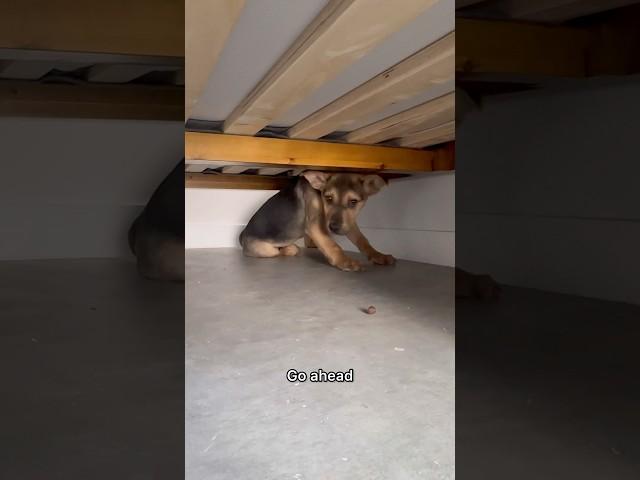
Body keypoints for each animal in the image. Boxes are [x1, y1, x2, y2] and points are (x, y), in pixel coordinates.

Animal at [238, 171, 392, 272]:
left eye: (353, 202)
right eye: (328, 198)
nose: (333, 227)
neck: (319, 194)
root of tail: (243, 235)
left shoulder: (348, 223)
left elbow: (363, 240)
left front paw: (379, 256)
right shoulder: (315, 226)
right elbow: (332, 245)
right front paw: (345, 262)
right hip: (266, 250)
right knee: (277, 252)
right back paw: (287, 249)